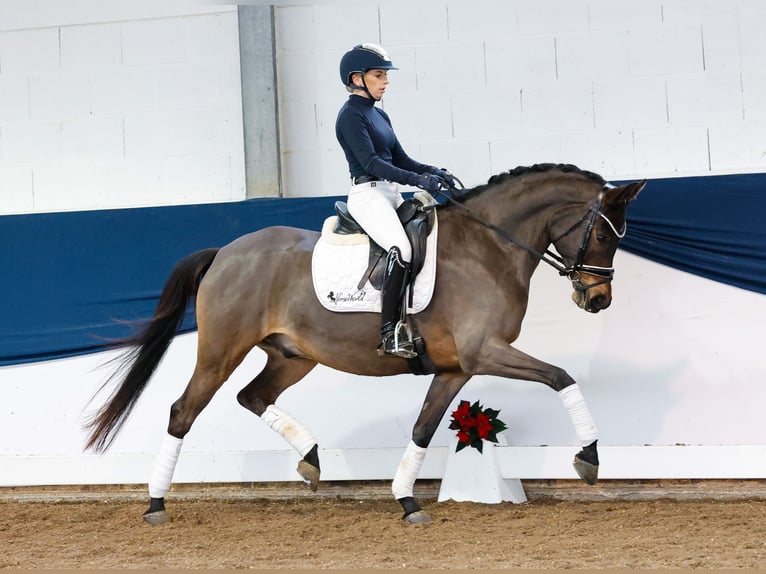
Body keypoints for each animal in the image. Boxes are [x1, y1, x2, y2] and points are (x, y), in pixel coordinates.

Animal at [85, 163, 648, 528]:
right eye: (604, 235)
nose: (597, 299)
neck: (488, 247)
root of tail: (225, 251)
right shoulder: (483, 352)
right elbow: (561, 377)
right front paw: (589, 457)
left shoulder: (455, 369)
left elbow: (423, 429)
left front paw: (406, 501)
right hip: (222, 350)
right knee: (184, 411)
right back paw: (156, 505)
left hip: (292, 356)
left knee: (253, 397)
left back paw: (311, 459)